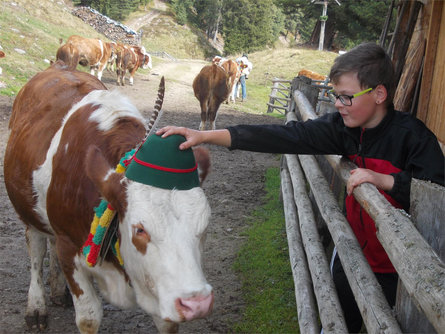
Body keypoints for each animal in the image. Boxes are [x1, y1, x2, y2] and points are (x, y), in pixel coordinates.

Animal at [4, 60, 213, 334]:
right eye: (140, 230)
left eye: (205, 227)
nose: (197, 303)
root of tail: (60, 65)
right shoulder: (69, 247)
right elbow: (89, 317)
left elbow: (167, 324)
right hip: (27, 211)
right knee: (36, 252)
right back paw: (36, 307)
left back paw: (58, 291)